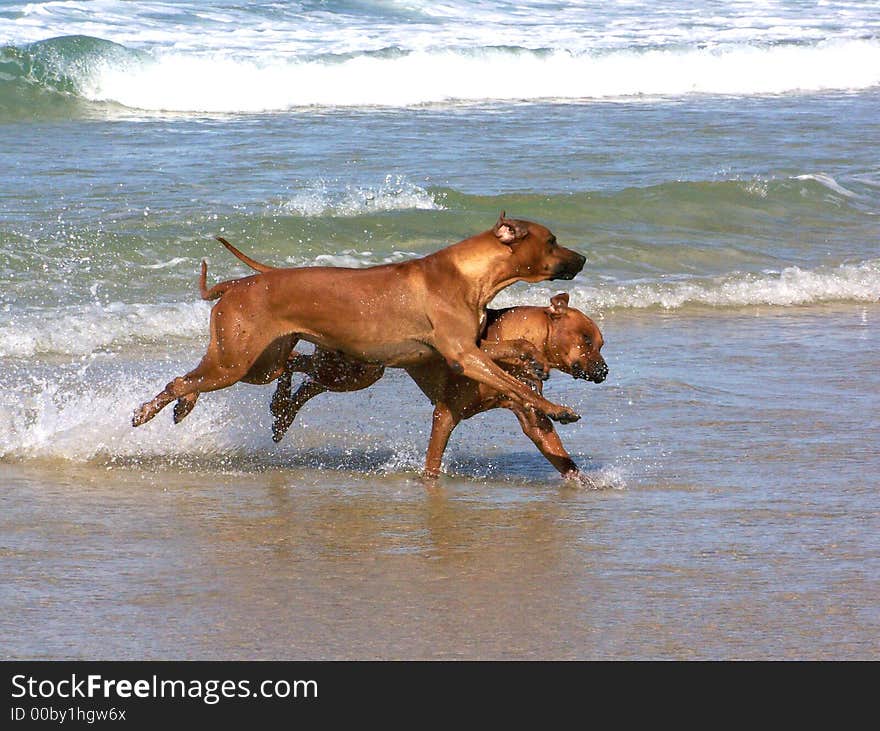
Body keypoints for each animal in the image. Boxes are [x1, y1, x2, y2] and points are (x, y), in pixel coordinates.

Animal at [131, 214, 584, 426]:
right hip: (235, 361)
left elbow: (514, 347)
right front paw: (557, 408)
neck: (469, 275)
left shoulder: (468, 347)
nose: (582, 258)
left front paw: (531, 359)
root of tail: (238, 283)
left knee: (200, 378)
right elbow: (514, 385)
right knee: (180, 380)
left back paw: (187, 405)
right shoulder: (464, 356)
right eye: (552, 240)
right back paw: (150, 411)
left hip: (260, 363)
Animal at [274, 292, 604, 480]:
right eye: (586, 340)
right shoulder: (446, 412)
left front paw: (583, 481)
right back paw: (280, 403)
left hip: (355, 372)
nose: (604, 371)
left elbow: (553, 446)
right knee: (293, 362)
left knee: (307, 381)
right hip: (348, 368)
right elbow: (432, 463)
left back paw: (283, 414)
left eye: (600, 344)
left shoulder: (530, 415)